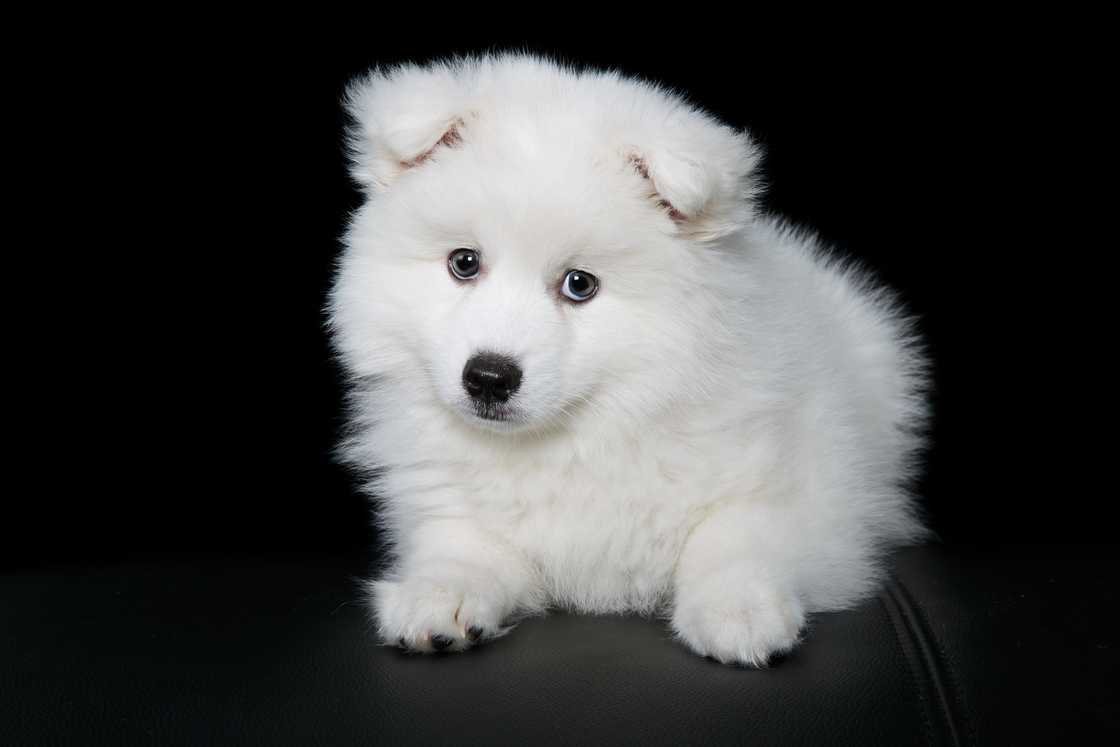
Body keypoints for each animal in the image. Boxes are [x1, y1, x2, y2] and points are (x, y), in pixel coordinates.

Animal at [329, 55, 927, 667]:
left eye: (579, 285)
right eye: (464, 263)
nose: (489, 378)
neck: (581, 434)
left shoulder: (816, 504)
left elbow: (735, 533)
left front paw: (739, 611)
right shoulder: (449, 500)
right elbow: (464, 543)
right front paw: (438, 596)